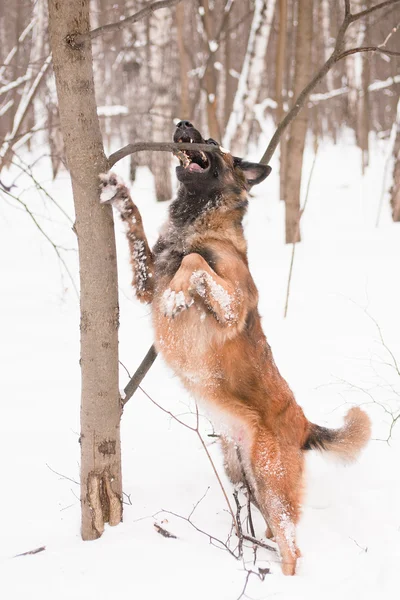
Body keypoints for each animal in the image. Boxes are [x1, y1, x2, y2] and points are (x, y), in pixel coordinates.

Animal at [101, 122, 372, 576]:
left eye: (213, 144)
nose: (183, 124)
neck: (199, 222)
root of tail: (303, 424)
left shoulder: (231, 303)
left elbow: (193, 263)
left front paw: (177, 297)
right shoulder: (145, 284)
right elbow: (140, 230)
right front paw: (120, 193)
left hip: (272, 484)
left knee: (293, 550)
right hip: (245, 478)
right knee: (275, 535)